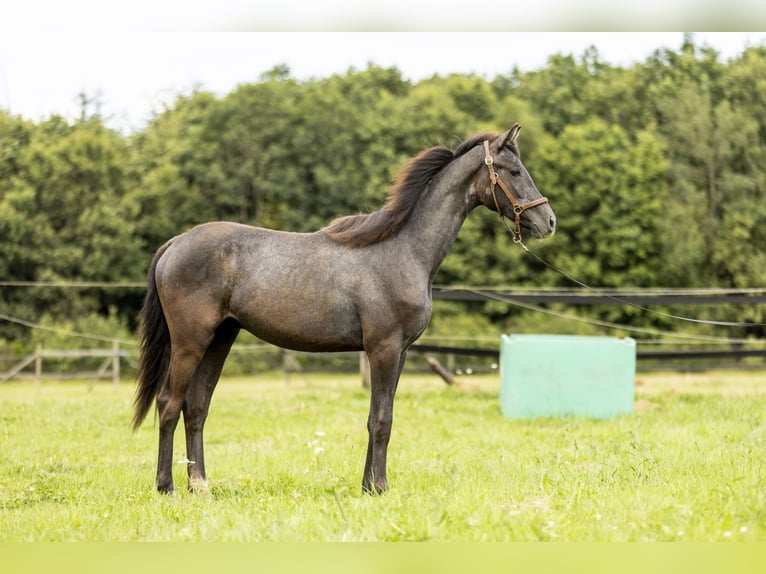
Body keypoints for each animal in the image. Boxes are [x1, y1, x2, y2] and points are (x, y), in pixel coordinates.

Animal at [134, 125, 560, 496]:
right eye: (513, 171)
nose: (549, 221)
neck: (402, 249)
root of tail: (176, 243)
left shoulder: (399, 353)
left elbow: (379, 417)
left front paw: (368, 485)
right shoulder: (383, 348)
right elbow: (382, 420)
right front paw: (380, 487)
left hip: (220, 339)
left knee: (196, 408)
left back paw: (200, 486)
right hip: (190, 342)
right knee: (169, 405)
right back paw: (166, 486)